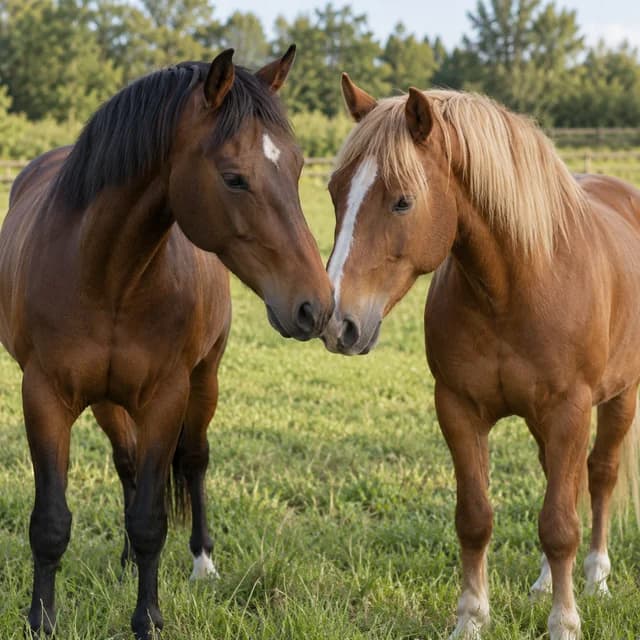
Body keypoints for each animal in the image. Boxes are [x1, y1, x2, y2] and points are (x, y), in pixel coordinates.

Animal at [0, 46, 334, 639]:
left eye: (297, 168)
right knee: (127, 464)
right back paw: (124, 560)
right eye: (234, 178)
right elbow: (51, 522)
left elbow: (152, 519)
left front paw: (148, 618)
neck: (107, 274)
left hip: (204, 382)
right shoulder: (43, 397)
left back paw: (202, 562)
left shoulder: (165, 398)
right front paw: (41, 620)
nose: (314, 307)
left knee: (195, 460)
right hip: (108, 401)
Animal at [321, 74, 640, 640]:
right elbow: (475, 518)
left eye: (402, 202)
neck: (516, 286)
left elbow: (561, 523)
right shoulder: (458, 409)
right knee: (562, 477)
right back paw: (543, 583)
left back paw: (596, 579)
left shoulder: (570, 410)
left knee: (599, 476)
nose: (339, 323)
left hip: (620, 397)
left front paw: (564, 621)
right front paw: (471, 617)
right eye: (336, 191)